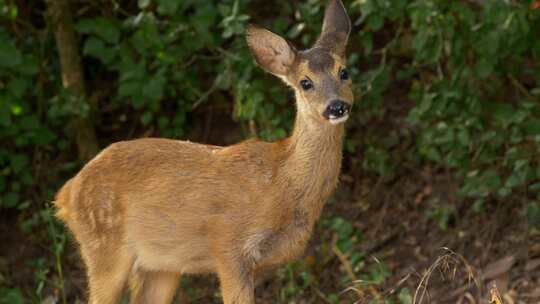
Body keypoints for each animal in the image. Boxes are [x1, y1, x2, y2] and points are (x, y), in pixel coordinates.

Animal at [53, 1, 354, 302]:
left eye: (344, 72)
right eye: (305, 82)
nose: (336, 106)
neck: (282, 184)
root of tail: (66, 193)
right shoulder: (229, 245)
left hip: (161, 265)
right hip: (104, 245)